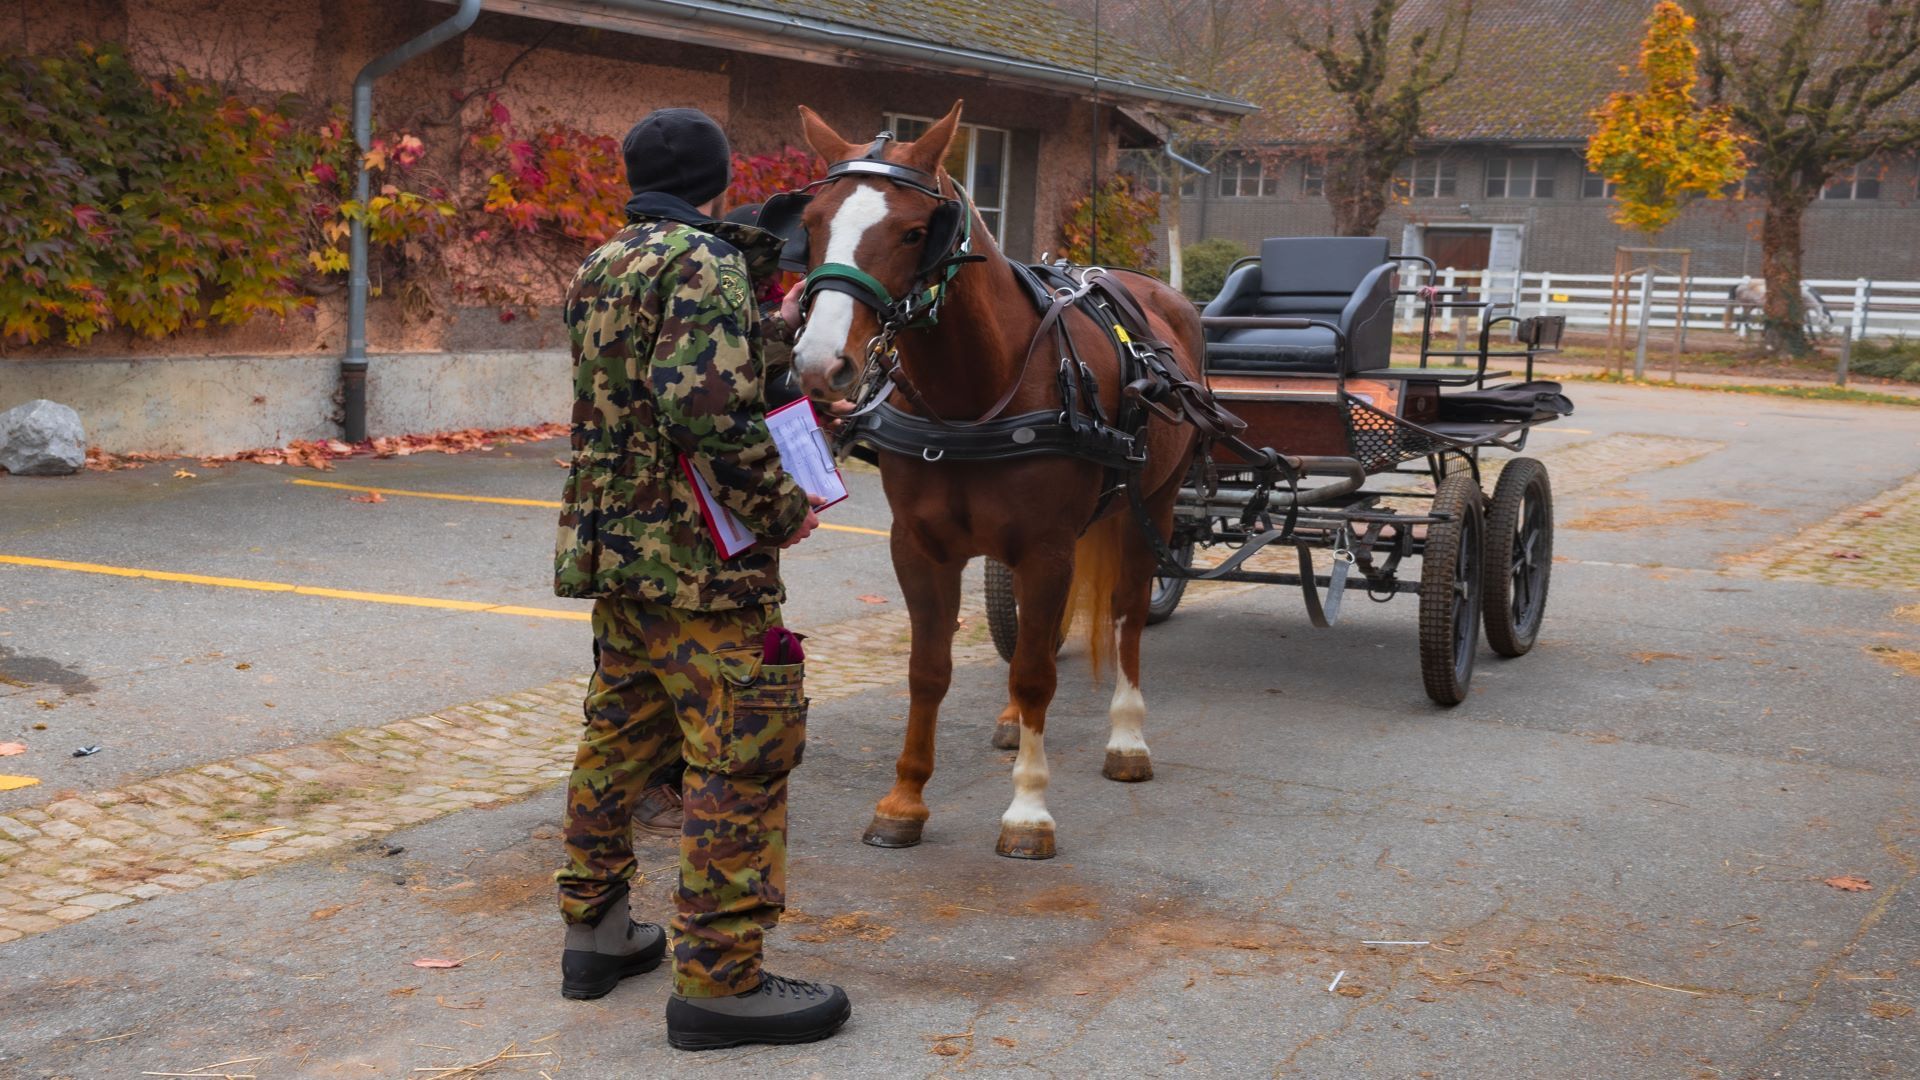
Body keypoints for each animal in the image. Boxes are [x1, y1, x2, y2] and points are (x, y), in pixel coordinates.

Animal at [779, 102, 1207, 860]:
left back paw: (1127, 739)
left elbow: (1038, 672)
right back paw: (1012, 725)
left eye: (914, 232)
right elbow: (931, 671)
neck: (973, 393)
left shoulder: (1048, 548)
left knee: (1126, 614)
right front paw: (904, 801)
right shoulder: (920, 547)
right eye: (814, 221)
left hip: (1148, 506)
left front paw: (1028, 811)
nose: (820, 365)